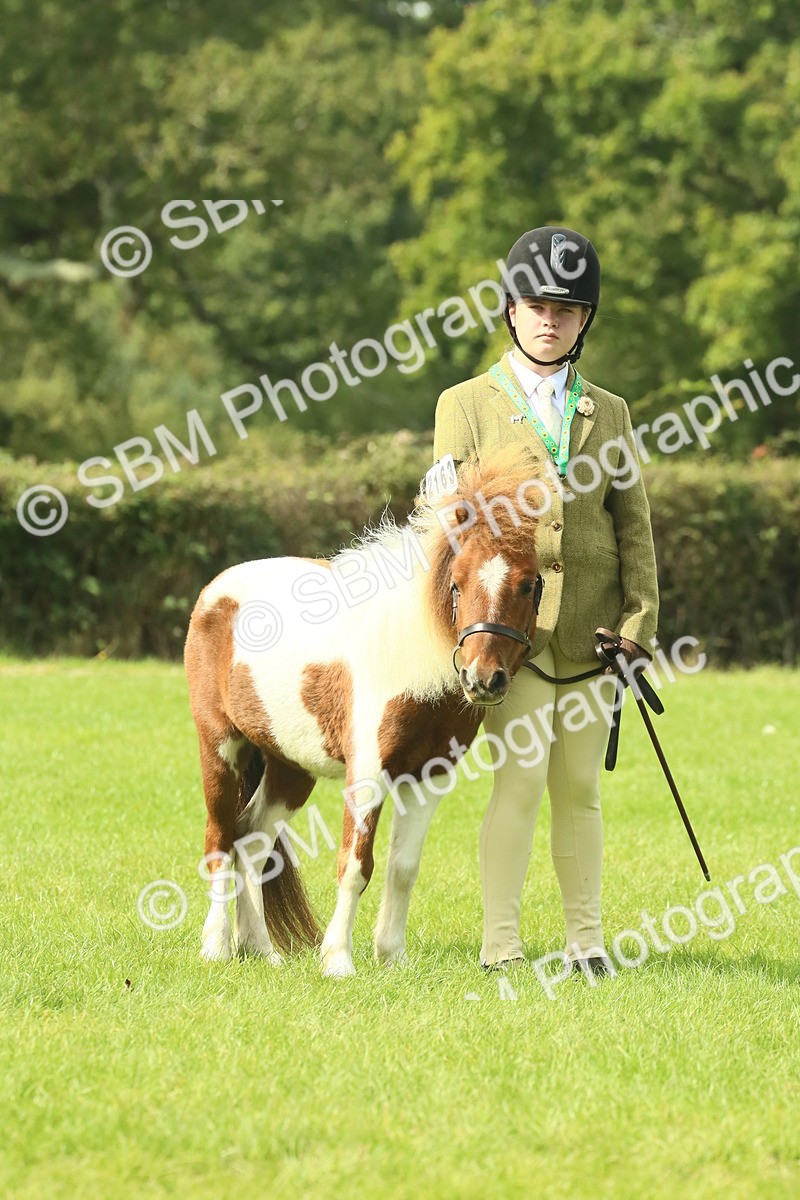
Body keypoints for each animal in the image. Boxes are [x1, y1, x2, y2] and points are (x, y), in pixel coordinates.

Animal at [184, 447, 547, 976]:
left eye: (526, 584)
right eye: (457, 584)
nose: (483, 678)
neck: (413, 660)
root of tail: (217, 590)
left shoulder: (430, 776)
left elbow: (402, 867)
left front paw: (392, 955)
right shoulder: (368, 772)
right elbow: (356, 864)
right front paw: (337, 959)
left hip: (290, 767)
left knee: (252, 840)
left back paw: (263, 951)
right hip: (220, 746)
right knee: (220, 841)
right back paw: (215, 947)